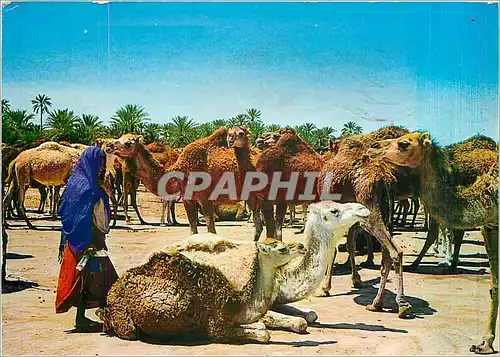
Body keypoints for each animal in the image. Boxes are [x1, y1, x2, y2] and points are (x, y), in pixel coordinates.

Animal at [100, 238, 304, 340]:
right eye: (282, 249)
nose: (302, 246)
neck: (237, 303)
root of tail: (113, 288)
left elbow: (261, 325)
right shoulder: (215, 325)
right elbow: (264, 334)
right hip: (123, 317)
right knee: (127, 330)